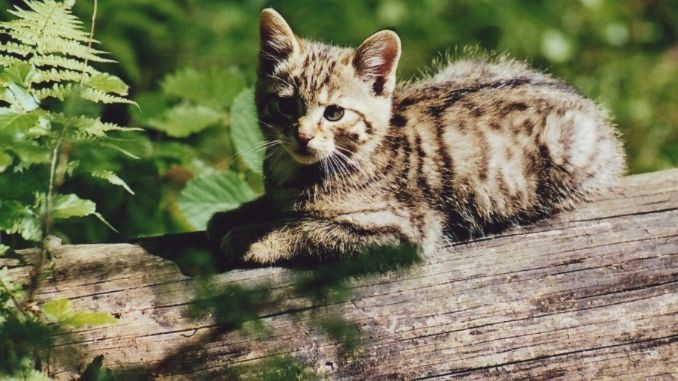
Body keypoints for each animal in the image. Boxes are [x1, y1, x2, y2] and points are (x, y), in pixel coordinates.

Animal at [207, 9, 628, 264]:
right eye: (286, 106)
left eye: (334, 113)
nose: (303, 137)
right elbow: (274, 206)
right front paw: (234, 214)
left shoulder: (404, 229)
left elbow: (309, 227)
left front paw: (252, 239)